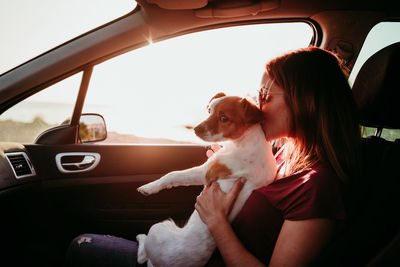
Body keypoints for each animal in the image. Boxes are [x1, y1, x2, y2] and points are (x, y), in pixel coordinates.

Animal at [136, 93, 276, 266]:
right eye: (209, 110)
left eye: (224, 118)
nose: (195, 129)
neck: (245, 141)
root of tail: (156, 263)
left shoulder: (205, 172)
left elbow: (173, 174)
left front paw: (149, 187)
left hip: (158, 228)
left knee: (142, 256)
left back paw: (140, 237)